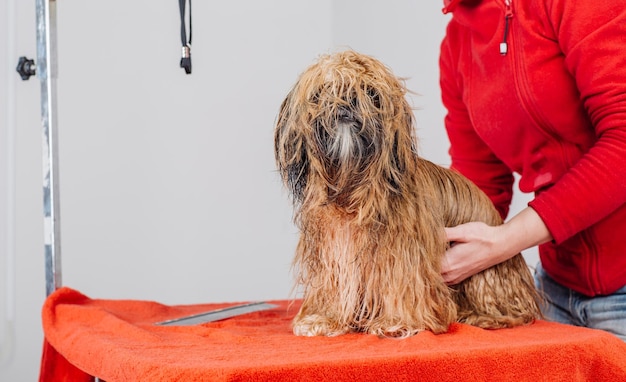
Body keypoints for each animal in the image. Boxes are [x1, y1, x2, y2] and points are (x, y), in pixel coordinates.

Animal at [272, 50, 540, 338]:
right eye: (323, 92)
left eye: (370, 92)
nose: (346, 103)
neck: (353, 189)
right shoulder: (334, 254)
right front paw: (323, 318)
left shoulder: (403, 258)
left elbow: (402, 288)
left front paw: (397, 321)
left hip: (487, 272)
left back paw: (481, 317)